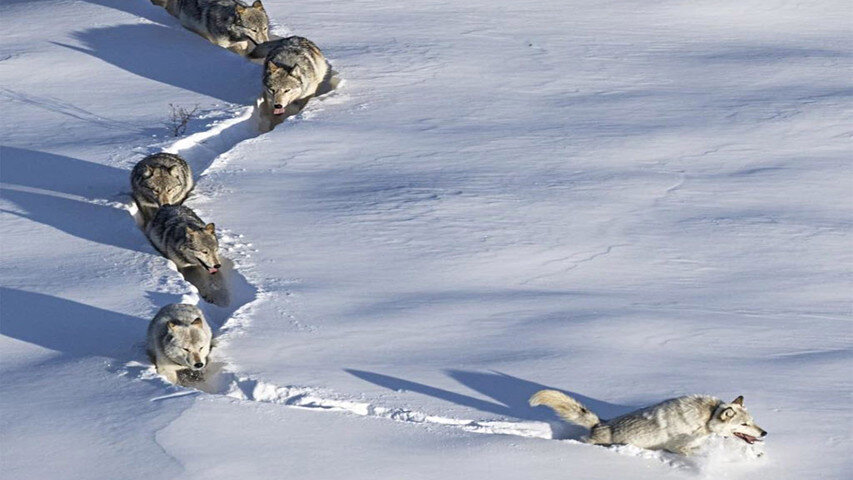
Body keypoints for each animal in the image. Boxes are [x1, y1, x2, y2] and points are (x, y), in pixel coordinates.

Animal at [528, 390, 768, 454]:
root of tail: (599, 423)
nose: (764, 433)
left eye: (752, 421)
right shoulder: (677, 447)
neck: (707, 419)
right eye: (744, 424)